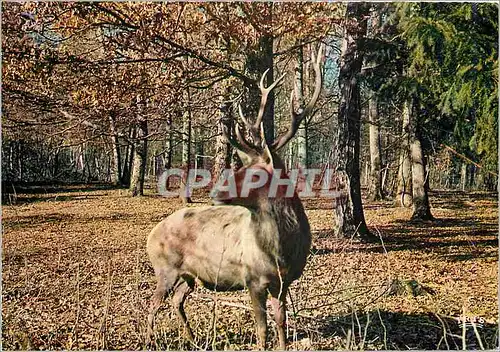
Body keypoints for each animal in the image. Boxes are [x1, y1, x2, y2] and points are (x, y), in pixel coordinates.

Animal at [145, 44, 324, 350]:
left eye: (253, 172)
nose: (215, 192)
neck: (281, 251)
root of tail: (150, 236)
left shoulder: (284, 283)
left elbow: (281, 324)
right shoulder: (252, 279)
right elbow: (262, 329)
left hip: (189, 276)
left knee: (177, 301)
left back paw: (192, 339)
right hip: (164, 268)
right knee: (153, 305)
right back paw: (149, 340)